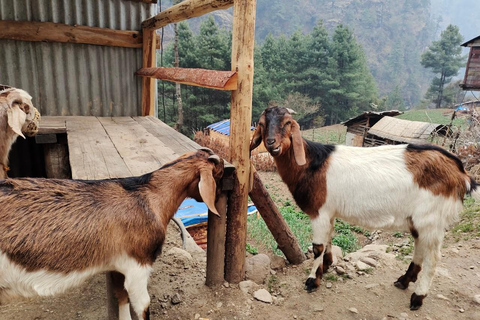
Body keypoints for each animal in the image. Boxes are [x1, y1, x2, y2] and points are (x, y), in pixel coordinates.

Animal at [0, 149, 224, 320]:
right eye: (219, 174)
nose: (219, 196)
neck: (149, 197)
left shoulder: (118, 265)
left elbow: (121, 296)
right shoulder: (138, 265)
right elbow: (142, 306)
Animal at [251, 105, 480, 310]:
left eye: (287, 123)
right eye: (262, 124)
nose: (271, 143)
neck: (312, 164)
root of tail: (461, 173)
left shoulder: (320, 212)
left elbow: (317, 247)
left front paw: (312, 280)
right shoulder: (329, 212)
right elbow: (329, 239)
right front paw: (326, 266)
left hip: (431, 217)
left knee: (433, 257)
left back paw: (417, 297)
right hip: (420, 218)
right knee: (420, 246)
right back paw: (404, 280)